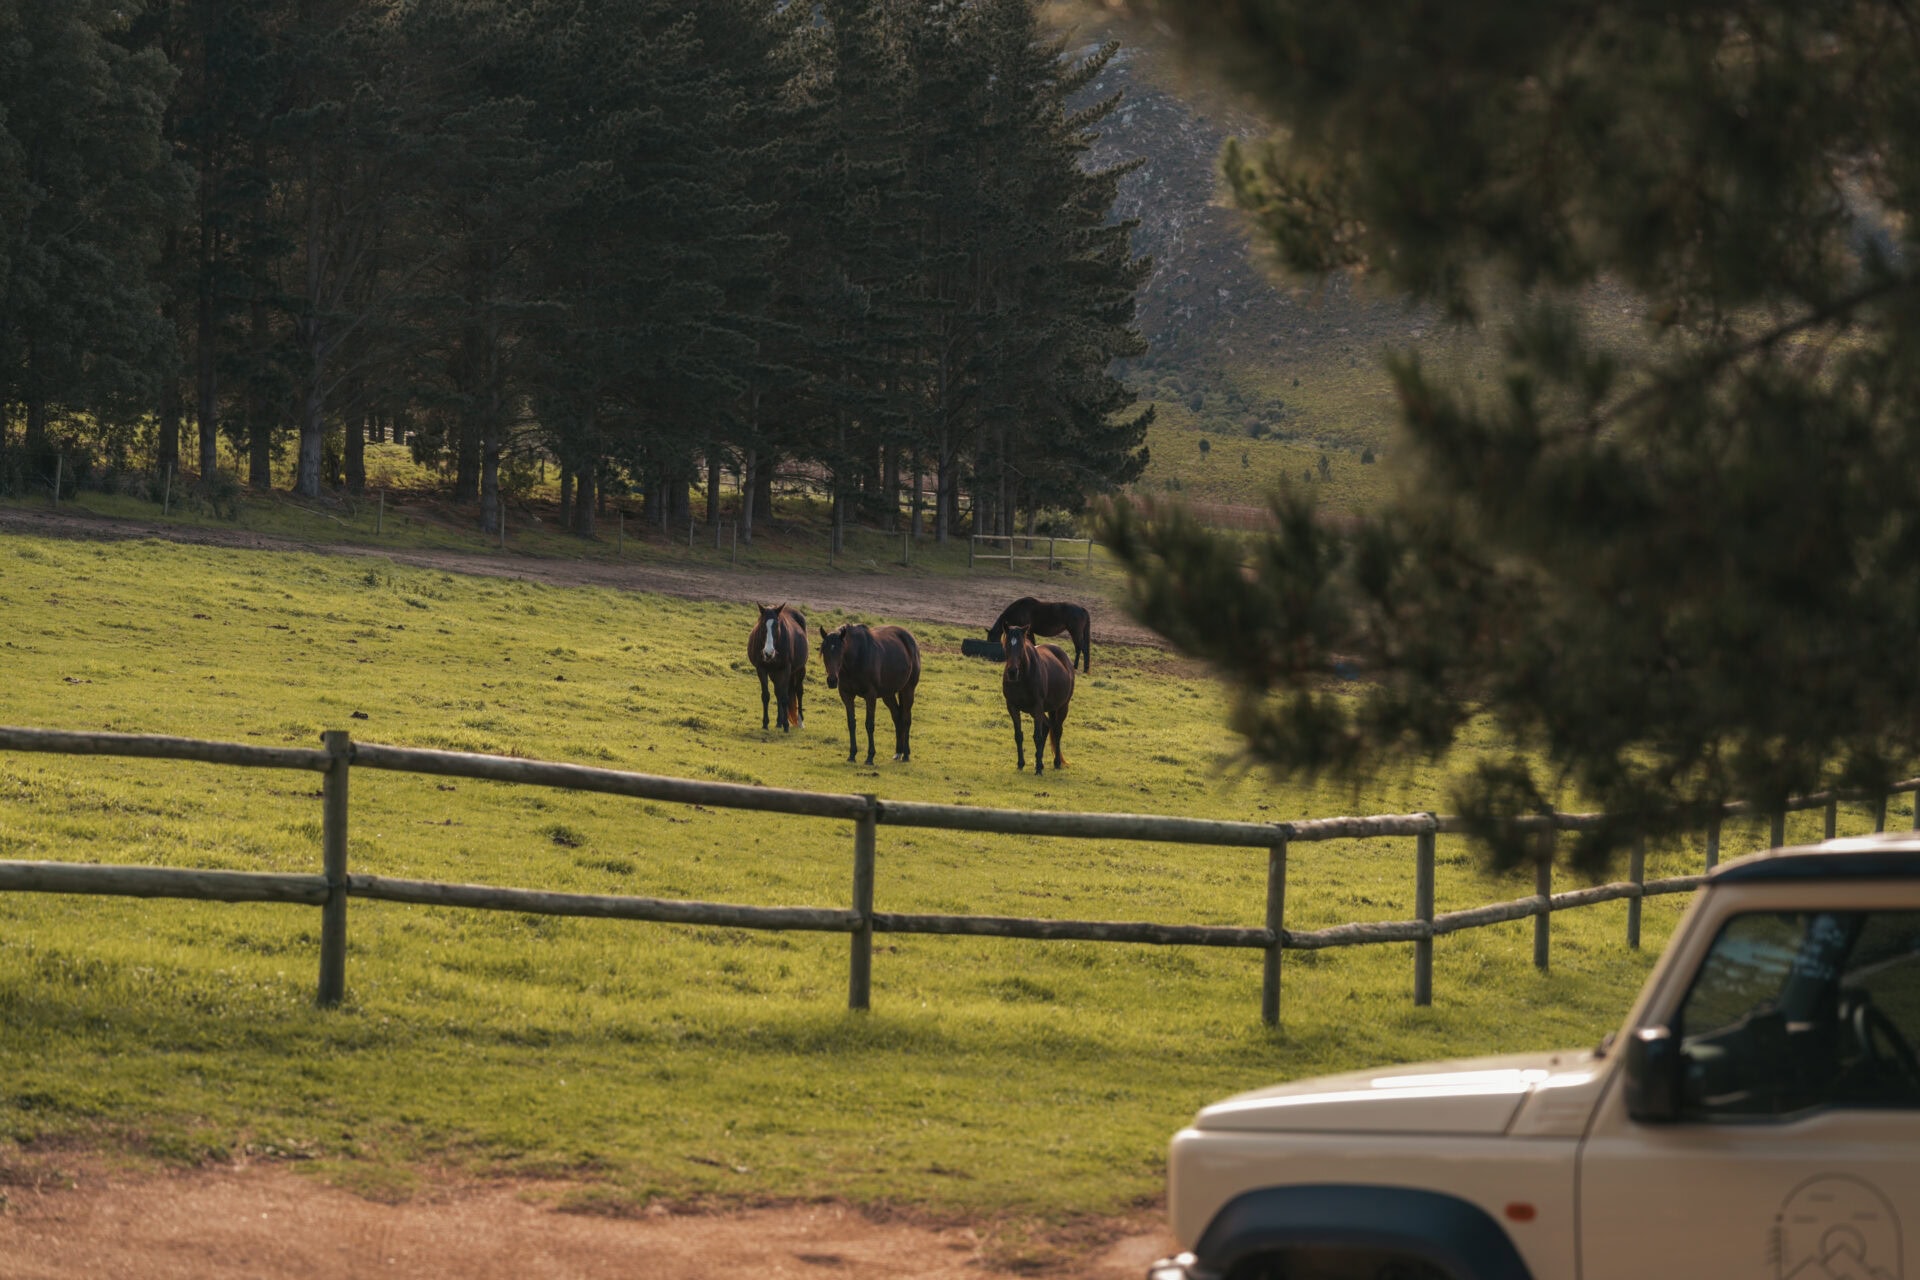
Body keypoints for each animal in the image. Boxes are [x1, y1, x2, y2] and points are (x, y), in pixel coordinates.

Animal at [748, 603, 807, 732]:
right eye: (762, 625)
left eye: (777, 626)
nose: (768, 653)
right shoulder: (761, 669)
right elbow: (766, 696)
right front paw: (765, 723)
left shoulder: (786, 669)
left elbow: (785, 698)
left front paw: (786, 725)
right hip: (774, 673)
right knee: (778, 692)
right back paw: (779, 722)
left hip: (799, 670)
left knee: (799, 691)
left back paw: (800, 721)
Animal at [818, 623, 920, 763]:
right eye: (824, 651)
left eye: (840, 651)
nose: (832, 680)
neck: (857, 658)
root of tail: (910, 638)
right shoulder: (847, 695)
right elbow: (851, 723)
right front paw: (852, 755)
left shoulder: (870, 696)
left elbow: (869, 724)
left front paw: (870, 757)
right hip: (888, 695)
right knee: (897, 717)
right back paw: (898, 752)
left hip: (908, 690)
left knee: (905, 719)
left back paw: (905, 755)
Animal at [1001, 624, 1074, 775]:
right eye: (1007, 644)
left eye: (1021, 646)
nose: (1012, 672)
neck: (1022, 677)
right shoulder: (1012, 706)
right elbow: (1018, 735)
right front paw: (1021, 764)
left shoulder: (1037, 706)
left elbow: (1037, 737)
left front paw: (1039, 769)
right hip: (1039, 711)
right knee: (1047, 726)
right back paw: (1039, 762)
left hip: (1061, 707)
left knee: (1057, 731)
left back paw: (1056, 762)